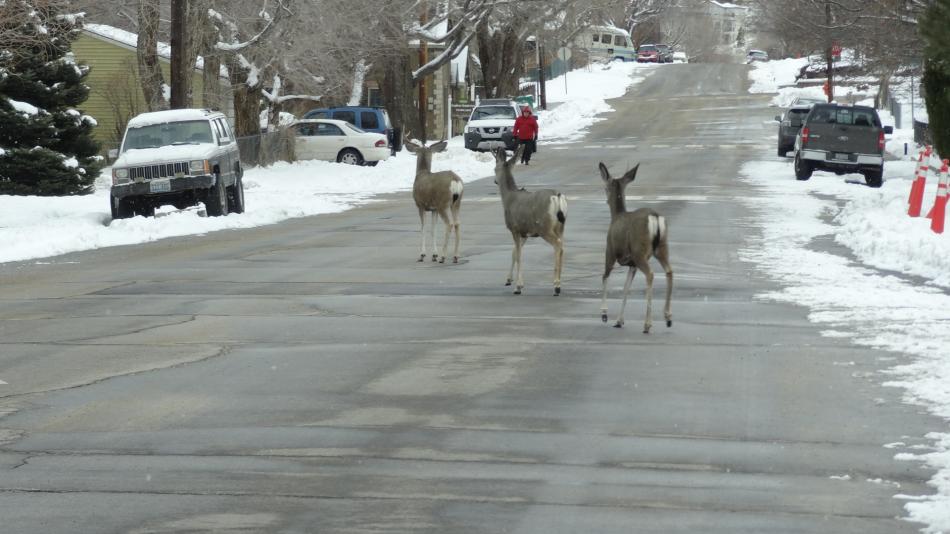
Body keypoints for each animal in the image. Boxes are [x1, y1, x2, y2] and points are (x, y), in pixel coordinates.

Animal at [493, 146, 567, 296]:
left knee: (557, 245)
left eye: (494, 169)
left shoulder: (514, 228)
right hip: (560, 226)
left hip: (544, 227)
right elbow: (514, 253)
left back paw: (556, 286)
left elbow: (519, 255)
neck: (508, 198)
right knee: (562, 247)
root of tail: (557, 197)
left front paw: (518, 286)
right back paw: (559, 284)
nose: (495, 180)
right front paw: (508, 280)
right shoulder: (525, 232)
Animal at [597, 162, 673, 333]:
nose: (605, 200)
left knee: (650, 274)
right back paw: (667, 317)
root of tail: (655, 218)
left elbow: (605, 276)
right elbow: (626, 288)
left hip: (640, 251)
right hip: (662, 247)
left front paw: (604, 314)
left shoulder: (610, 251)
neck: (616, 216)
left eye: (605, 187)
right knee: (669, 271)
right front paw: (619, 320)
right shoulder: (632, 264)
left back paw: (647, 324)